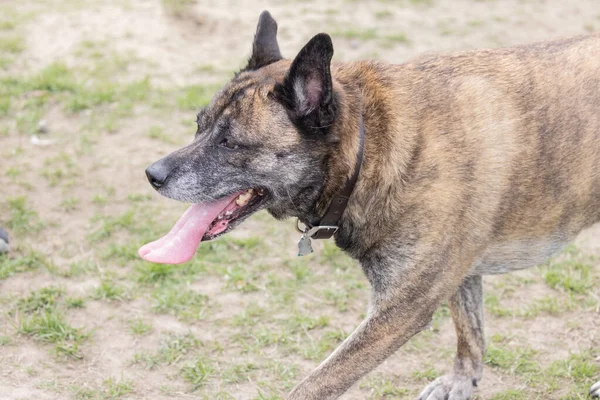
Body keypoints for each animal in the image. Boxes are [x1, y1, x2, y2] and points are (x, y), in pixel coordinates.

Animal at [138, 10, 596, 398]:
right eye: (199, 126)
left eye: (231, 143)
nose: (152, 174)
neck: (371, 146)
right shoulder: (460, 277)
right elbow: (471, 331)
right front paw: (462, 382)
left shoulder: (398, 313)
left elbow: (316, 383)